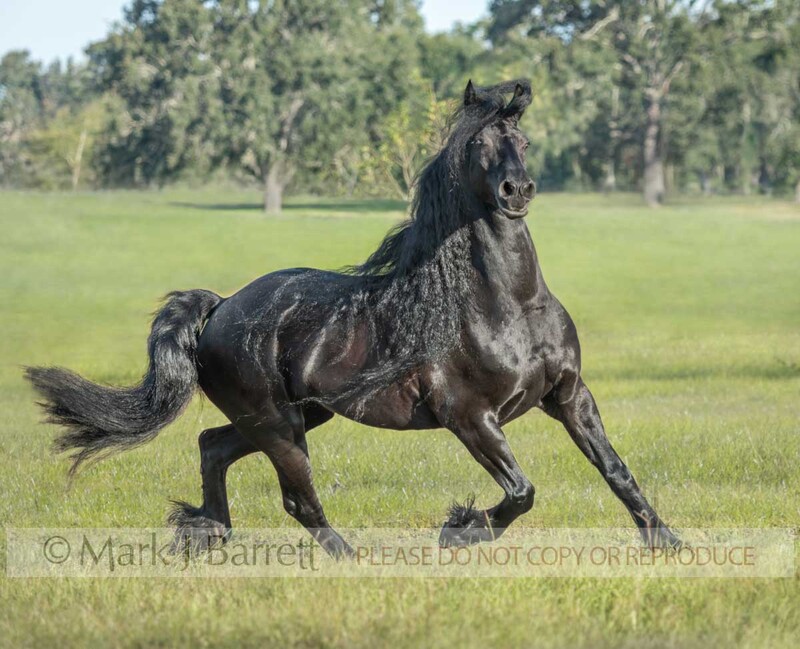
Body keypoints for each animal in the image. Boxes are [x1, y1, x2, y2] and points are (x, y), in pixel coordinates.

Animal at [26, 79, 681, 558]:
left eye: (520, 138)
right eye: (478, 145)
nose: (517, 191)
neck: (510, 307)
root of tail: (219, 308)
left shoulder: (570, 396)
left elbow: (615, 470)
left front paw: (667, 541)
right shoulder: (471, 417)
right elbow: (521, 492)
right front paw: (460, 529)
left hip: (298, 415)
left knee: (213, 445)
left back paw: (207, 532)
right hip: (277, 424)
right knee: (297, 498)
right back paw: (349, 559)